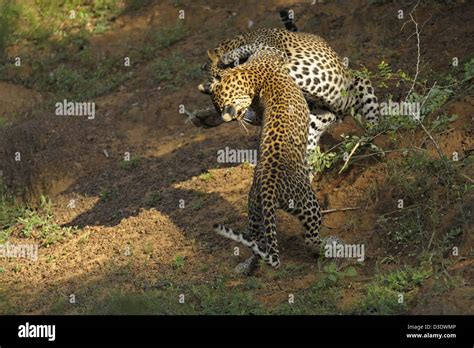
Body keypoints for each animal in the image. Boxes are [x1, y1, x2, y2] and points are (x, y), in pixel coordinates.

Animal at [208, 46, 340, 270]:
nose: (230, 118)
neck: (250, 76)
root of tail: (269, 190)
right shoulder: (270, 53)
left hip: (254, 211)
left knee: (258, 245)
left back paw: (247, 266)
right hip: (308, 202)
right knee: (310, 241)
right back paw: (330, 245)